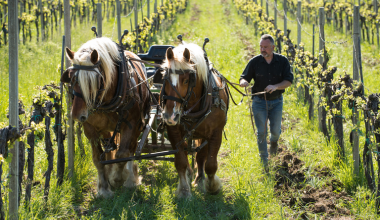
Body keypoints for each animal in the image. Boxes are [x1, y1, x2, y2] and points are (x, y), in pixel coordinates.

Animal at [60, 37, 150, 198]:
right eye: (71, 78)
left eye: (93, 80)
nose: (76, 115)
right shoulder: (90, 128)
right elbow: (98, 159)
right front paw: (104, 188)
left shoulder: (132, 124)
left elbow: (123, 154)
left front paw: (118, 178)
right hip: (107, 129)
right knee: (109, 147)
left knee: (131, 149)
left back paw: (130, 179)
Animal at [160, 42, 229, 198]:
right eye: (165, 80)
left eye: (186, 80)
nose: (169, 116)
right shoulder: (173, 131)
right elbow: (180, 161)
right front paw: (184, 190)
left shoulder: (216, 133)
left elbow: (210, 164)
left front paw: (212, 186)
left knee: (201, 156)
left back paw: (199, 179)